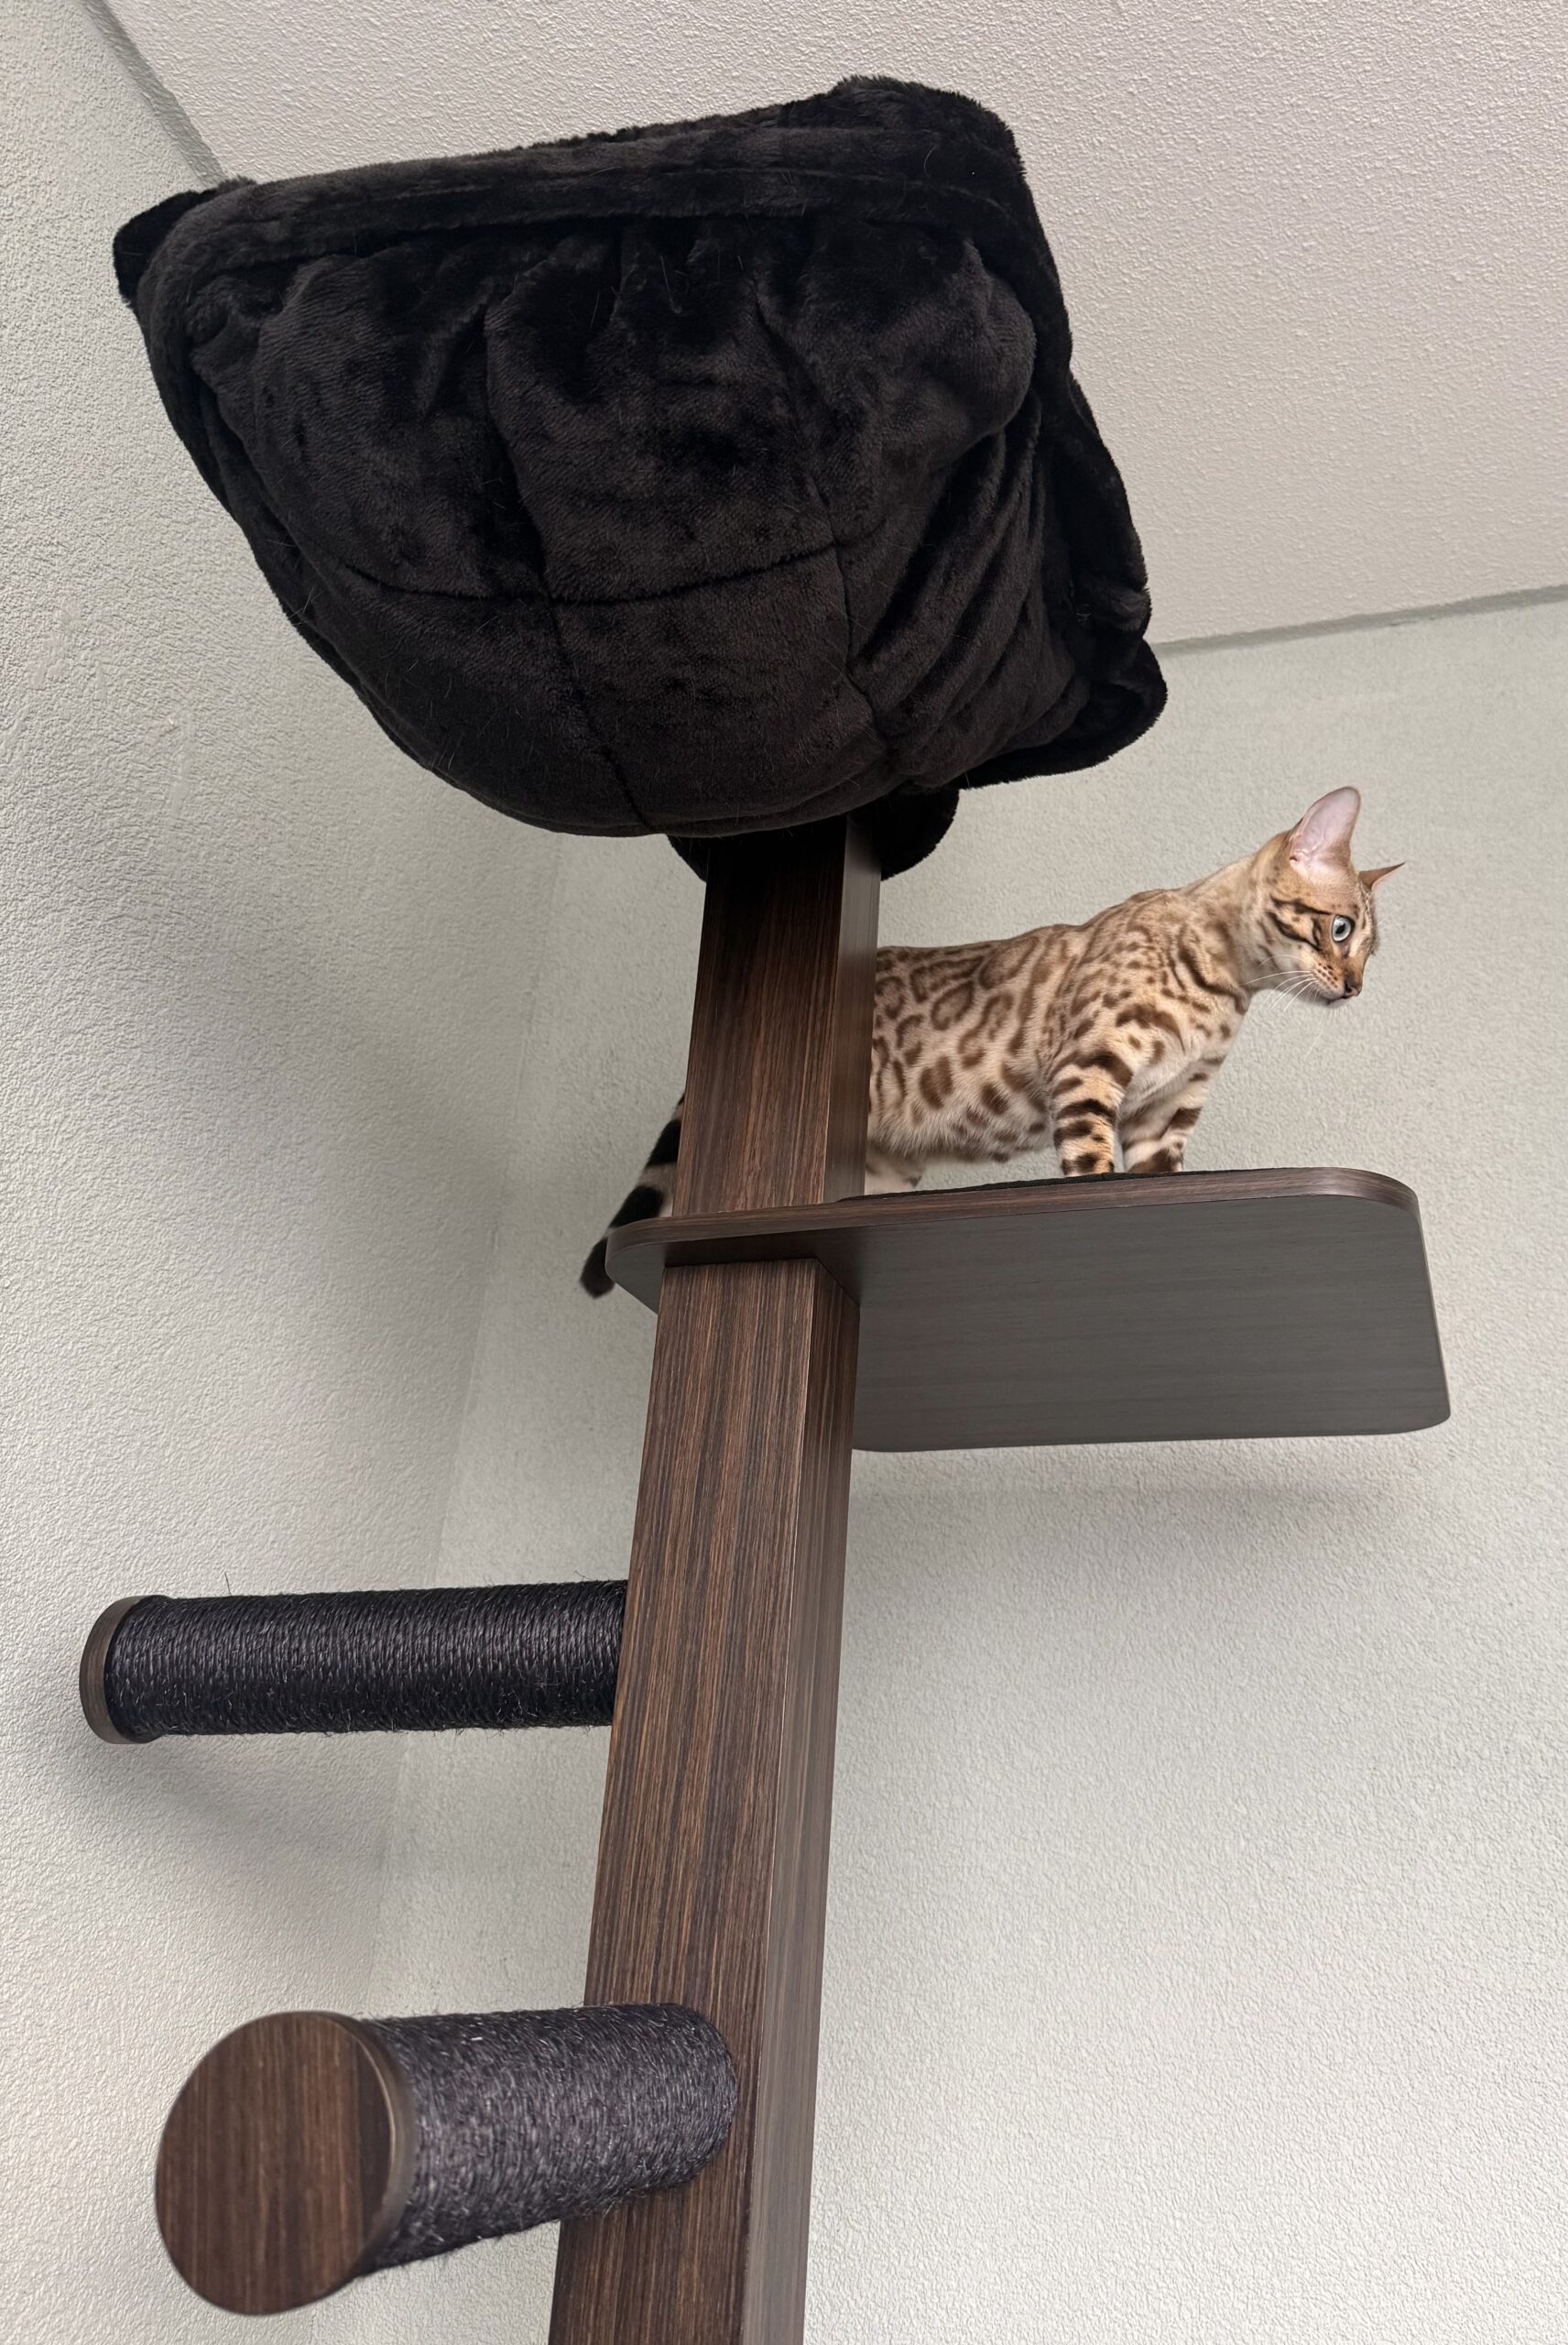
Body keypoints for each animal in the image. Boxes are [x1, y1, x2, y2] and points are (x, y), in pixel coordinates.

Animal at [582, 787, 1398, 1295]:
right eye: (1341, 929)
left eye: (1369, 949)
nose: (1357, 989)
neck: (1226, 991)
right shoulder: (1089, 1067)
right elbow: (1092, 1167)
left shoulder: (1166, 1111)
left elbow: (1158, 1177)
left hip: (884, 1170)